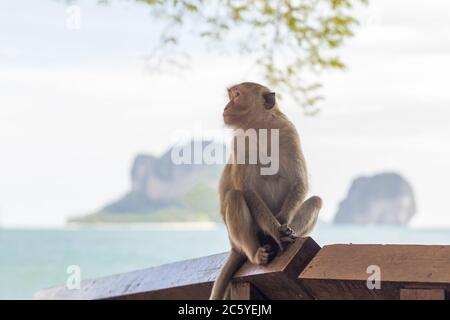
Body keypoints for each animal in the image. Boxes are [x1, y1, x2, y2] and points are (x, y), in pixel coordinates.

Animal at [209, 82, 322, 300]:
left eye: (236, 95)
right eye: (231, 95)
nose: (226, 107)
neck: (260, 128)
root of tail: (234, 247)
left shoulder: (289, 132)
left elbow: (299, 182)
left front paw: (283, 225)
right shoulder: (240, 142)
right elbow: (247, 189)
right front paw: (276, 231)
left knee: (316, 200)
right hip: (242, 240)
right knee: (235, 196)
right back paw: (257, 253)